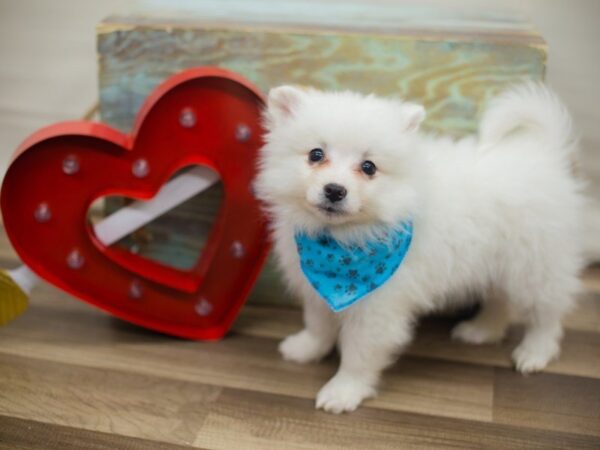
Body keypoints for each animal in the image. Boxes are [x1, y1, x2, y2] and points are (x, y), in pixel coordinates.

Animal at [255, 84, 584, 414]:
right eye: (316, 154)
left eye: (369, 167)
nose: (335, 190)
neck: (341, 241)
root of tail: (544, 153)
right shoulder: (316, 287)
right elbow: (318, 324)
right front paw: (305, 348)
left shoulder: (378, 307)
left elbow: (358, 352)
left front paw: (343, 391)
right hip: (497, 263)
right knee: (500, 299)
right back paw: (481, 330)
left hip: (535, 264)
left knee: (548, 312)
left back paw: (535, 352)